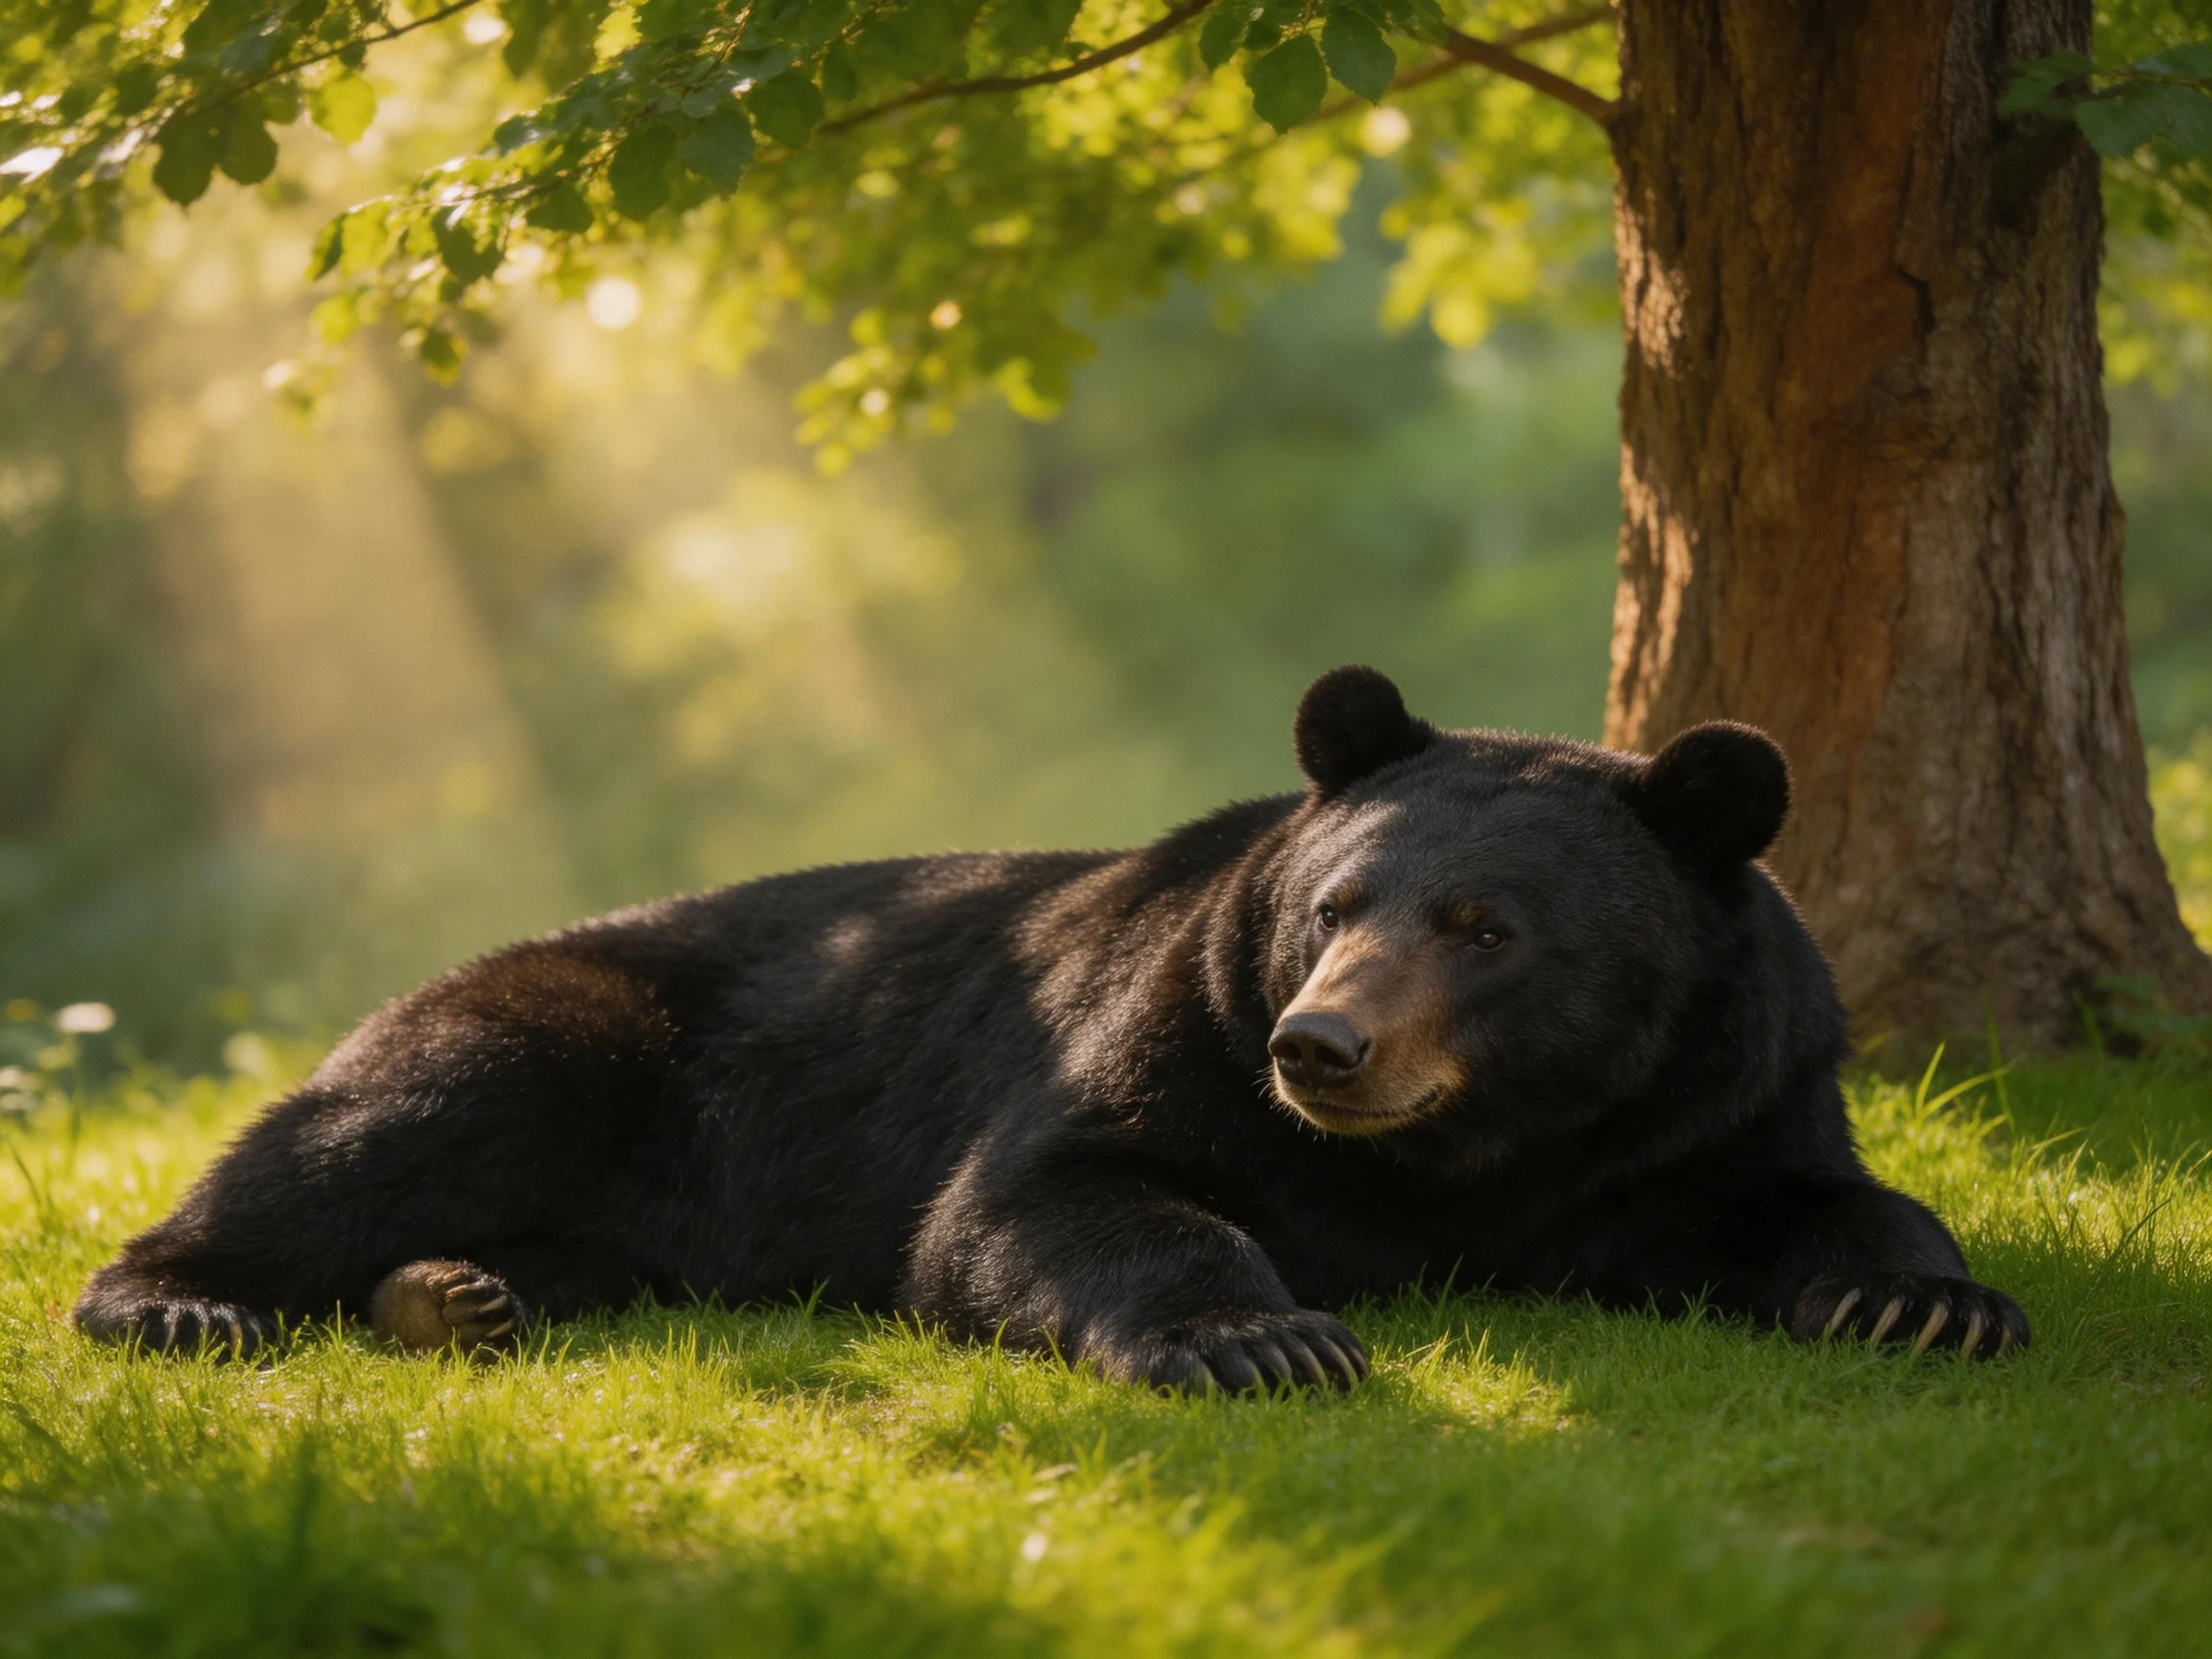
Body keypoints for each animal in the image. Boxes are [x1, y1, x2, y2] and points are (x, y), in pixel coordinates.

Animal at [74, 666, 2028, 1387]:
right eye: (1335, 905)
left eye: (1484, 928)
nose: (1323, 1049)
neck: (1486, 1145)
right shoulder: (1173, 1028)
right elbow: (1048, 1194)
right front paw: (1261, 1337)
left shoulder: (1720, 1089)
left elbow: (1824, 1198)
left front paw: (1923, 1300)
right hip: (565, 1023)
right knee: (382, 1117)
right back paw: (186, 1294)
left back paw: (459, 1292)